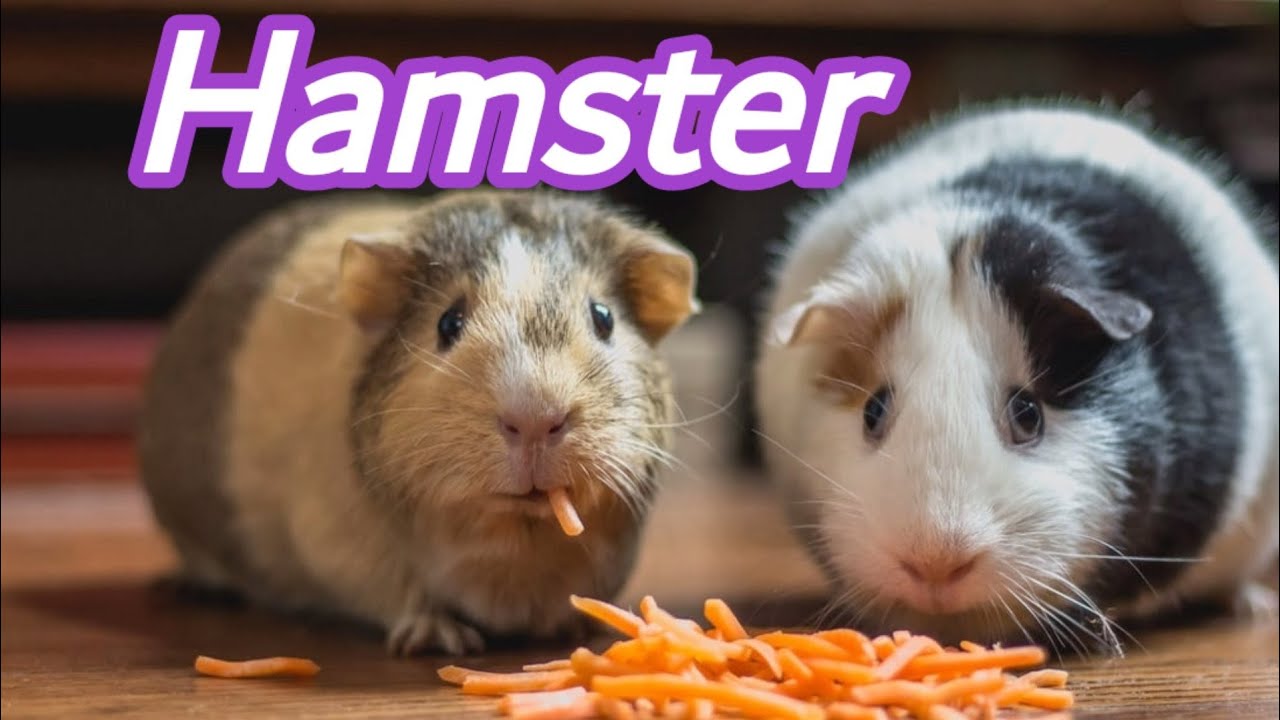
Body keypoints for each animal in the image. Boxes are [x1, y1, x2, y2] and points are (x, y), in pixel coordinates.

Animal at [139, 190, 699, 655]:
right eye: (448, 323)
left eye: (603, 318)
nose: (536, 418)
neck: (516, 542)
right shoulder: (346, 553)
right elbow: (408, 597)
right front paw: (441, 640)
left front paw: (577, 626)